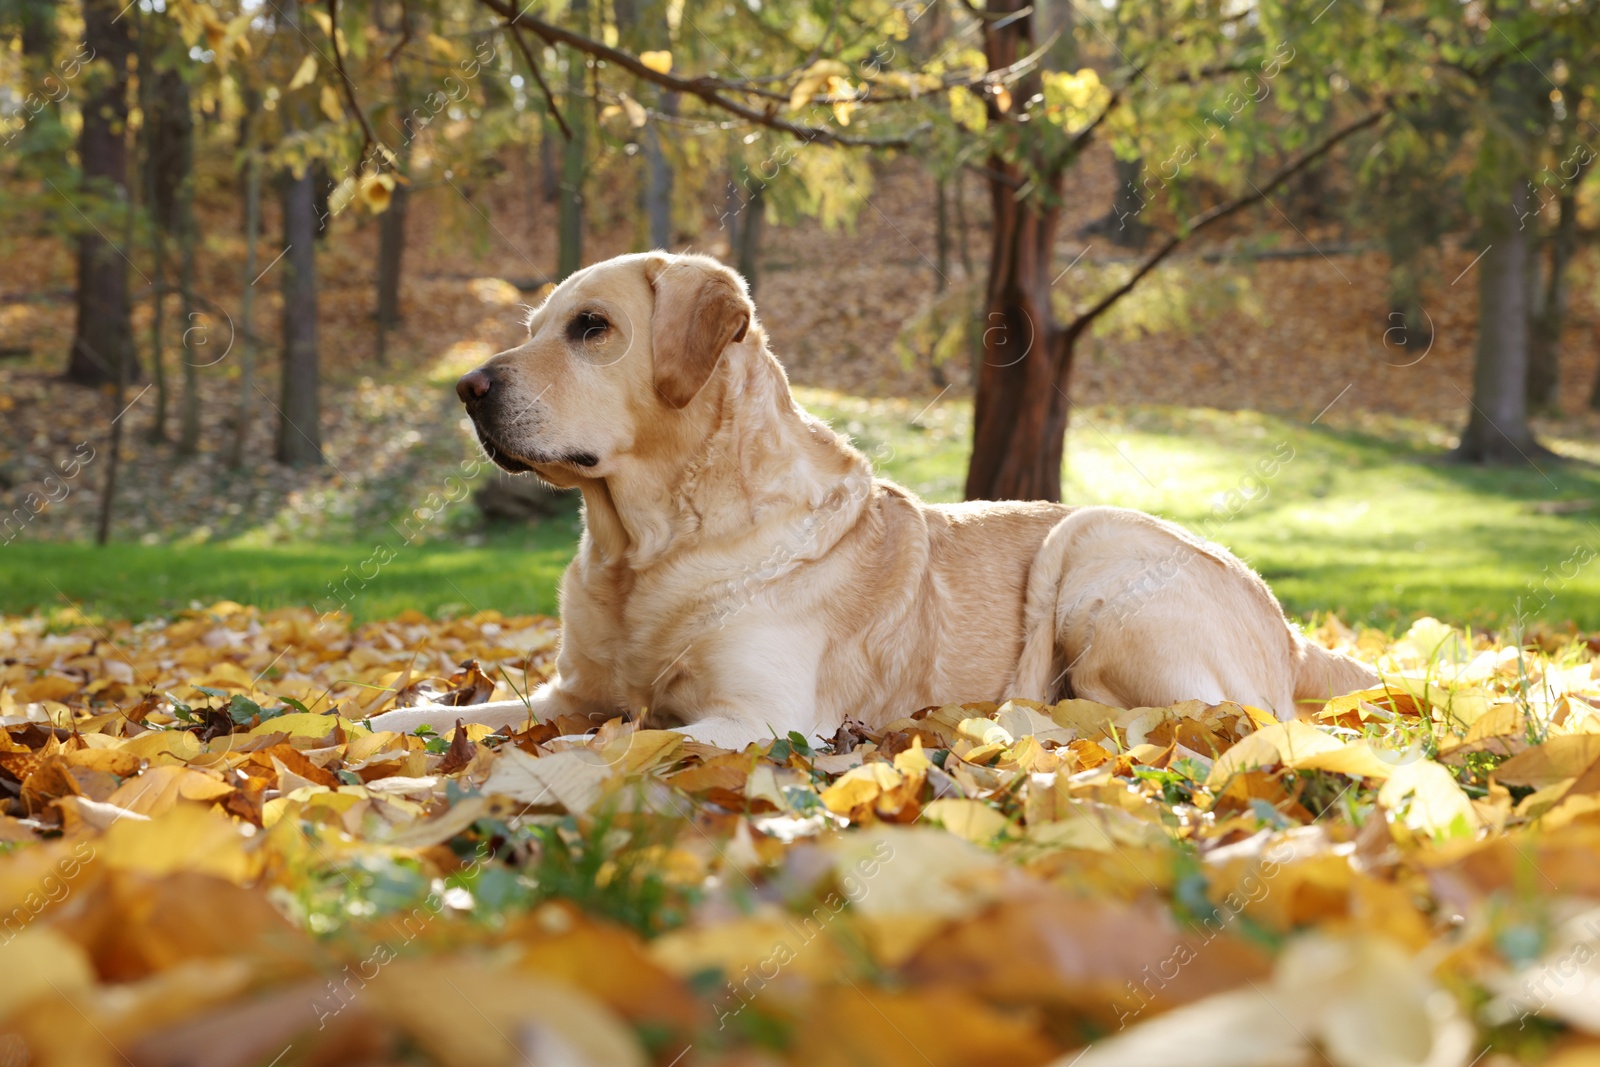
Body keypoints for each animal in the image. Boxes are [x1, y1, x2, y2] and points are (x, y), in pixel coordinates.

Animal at [368, 254, 1369, 748]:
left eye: (591, 328)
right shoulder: (574, 691)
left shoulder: (754, 718)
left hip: (1091, 544)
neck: (649, 549)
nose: (465, 388)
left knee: (1192, 716)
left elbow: (598, 746)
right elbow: (469, 717)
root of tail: (1292, 632)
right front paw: (389, 722)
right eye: (535, 326)